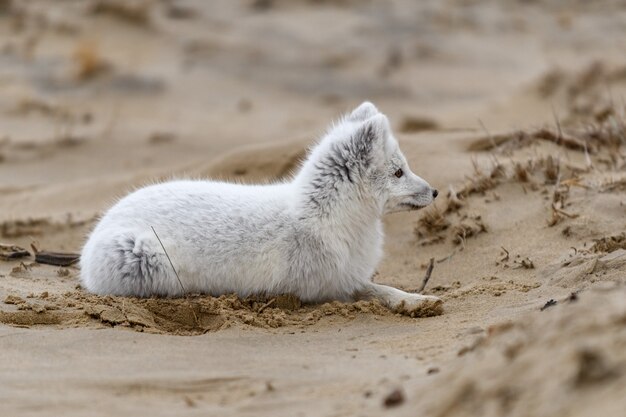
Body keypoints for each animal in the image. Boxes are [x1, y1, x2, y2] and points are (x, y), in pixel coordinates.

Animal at [80, 102, 442, 314]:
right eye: (399, 172)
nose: (436, 191)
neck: (325, 213)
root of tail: (86, 247)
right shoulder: (330, 286)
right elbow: (376, 290)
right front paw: (416, 301)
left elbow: (381, 288)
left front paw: (418, 299)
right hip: (145, 258)